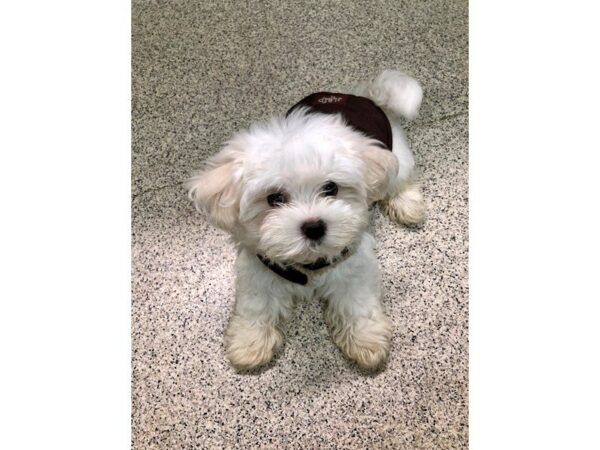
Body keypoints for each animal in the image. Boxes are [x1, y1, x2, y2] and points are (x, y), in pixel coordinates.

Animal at [185, 68, 424, 368]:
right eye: (274, 198)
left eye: (331, 187)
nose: (314, 227)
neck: (308, 264)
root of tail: (362, 95)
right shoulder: (257, 266)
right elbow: (255, 302)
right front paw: (249, 342)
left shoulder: (354, 261)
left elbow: (358, 300)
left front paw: (365, 339)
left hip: (396, 158)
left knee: (400, 181)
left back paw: (408, 204)